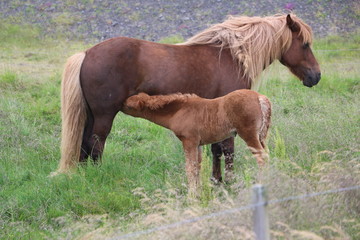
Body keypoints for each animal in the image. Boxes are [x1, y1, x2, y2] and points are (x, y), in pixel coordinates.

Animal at [51, 13, 320, 180]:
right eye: (305, 44)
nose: (316, 76)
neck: (232, 55)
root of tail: (86, 53)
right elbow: (228, 150)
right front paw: (230, 182)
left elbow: (216, 149)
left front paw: (216, 181)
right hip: (104, 116)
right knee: (96, 145)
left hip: (90, 115)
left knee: (84, 145)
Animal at [122, 89, 272, 192]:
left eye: (129, 106)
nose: (121, 104)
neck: (179, 111)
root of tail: (260, 97)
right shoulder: (198, 144)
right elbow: (197, 167)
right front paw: (199, 191)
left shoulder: (189, 141)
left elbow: (190, 168)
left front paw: (192, 195)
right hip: (261, 136)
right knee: (267, 154)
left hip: (249, 134)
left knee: (261, 158)